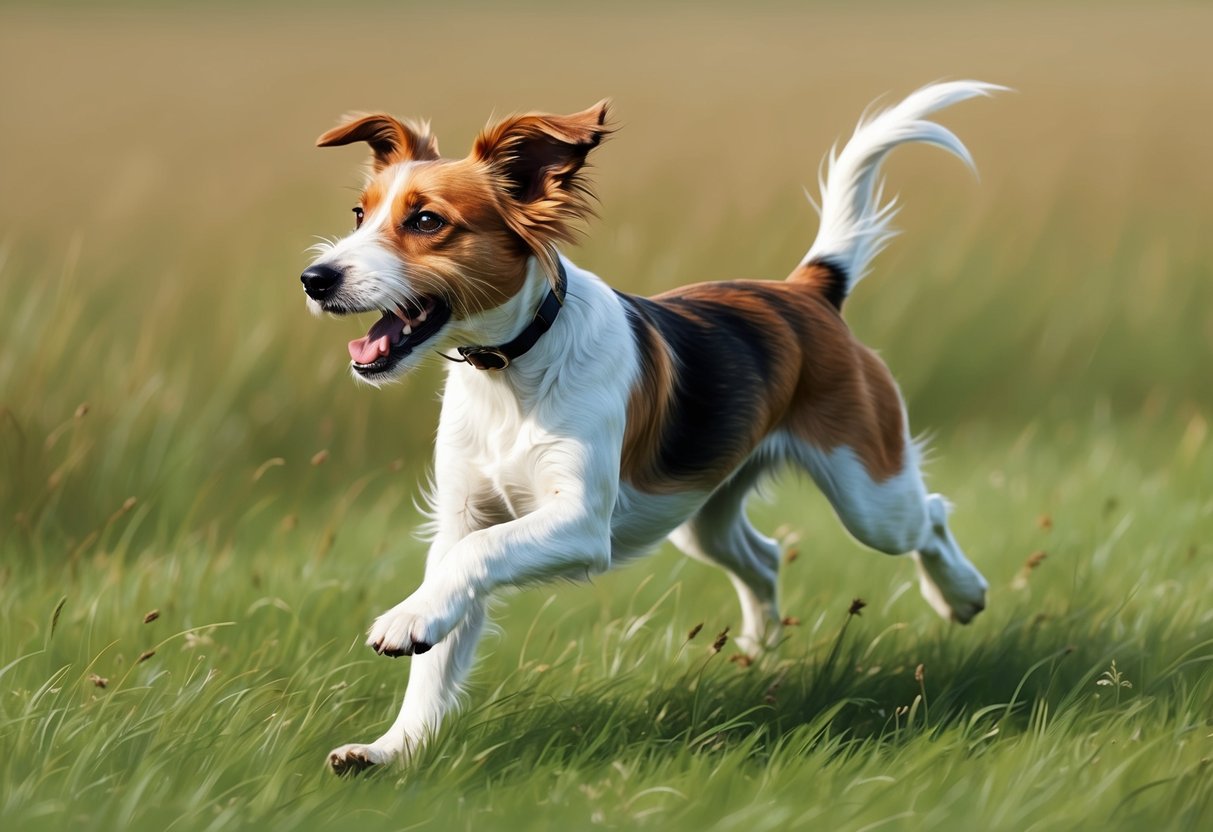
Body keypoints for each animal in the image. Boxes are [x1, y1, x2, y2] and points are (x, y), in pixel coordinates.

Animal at [298, 81, 999, 781]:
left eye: (426, 222)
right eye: (359, 214)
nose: (315, 278)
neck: (514, 371)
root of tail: (808, 291)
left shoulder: (579, 523)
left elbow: (476, 561)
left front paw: (405, 620)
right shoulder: (462, 519)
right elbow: (438, 648)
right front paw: (394, 750)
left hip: (868, 495)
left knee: (931, 514)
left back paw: (961, 595)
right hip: (702, 511)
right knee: (764, 557)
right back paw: (756, 655)